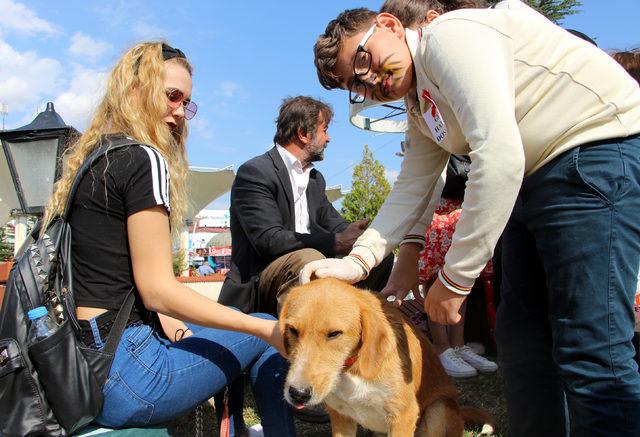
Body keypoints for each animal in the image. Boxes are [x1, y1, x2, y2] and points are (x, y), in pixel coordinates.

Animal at [280, 278, 496, 434]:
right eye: (292, 330)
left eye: (334, 334)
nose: (298, 394)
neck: (352, 368)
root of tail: (459, 412)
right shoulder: (340, 416)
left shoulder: (403, 416)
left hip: (439, 410)